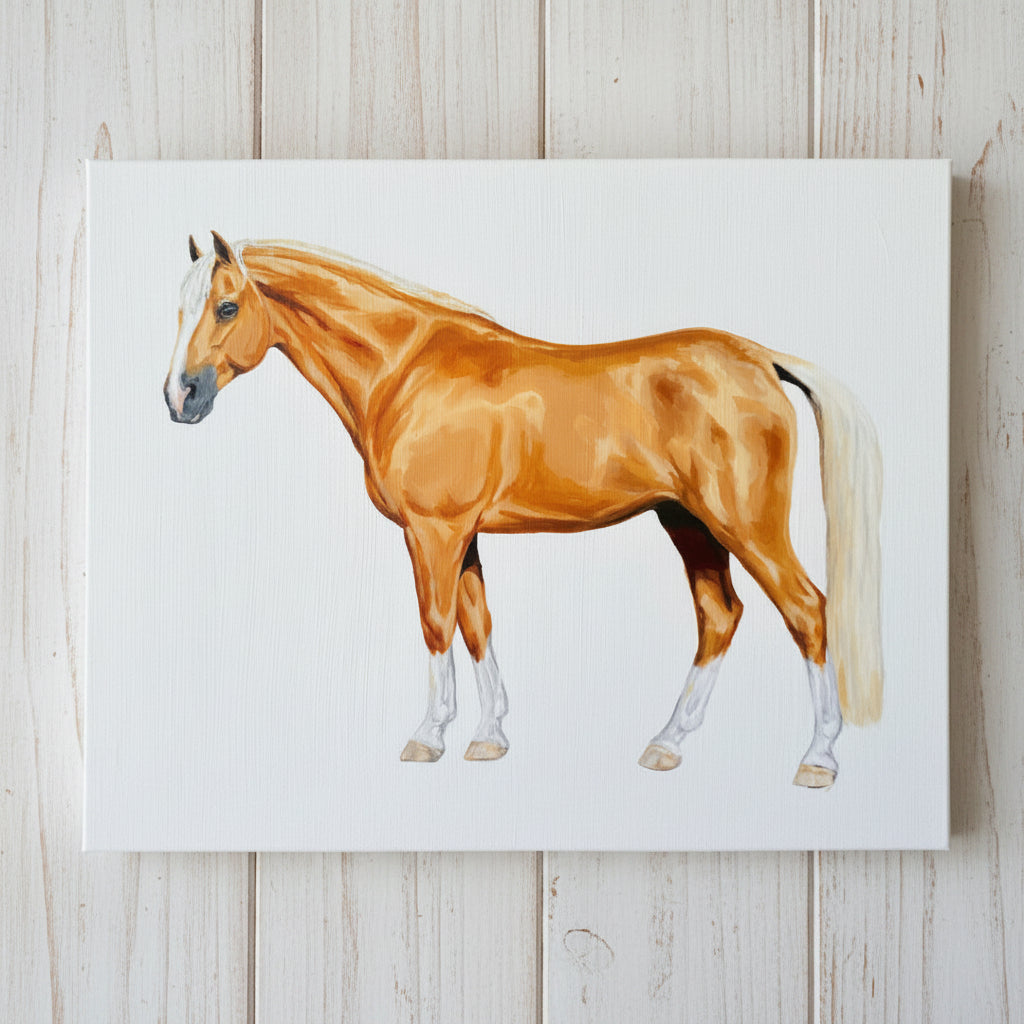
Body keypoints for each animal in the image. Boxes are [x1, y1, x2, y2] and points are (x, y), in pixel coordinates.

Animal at [164, 231, 883, 788]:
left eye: (227, 306)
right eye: (179, 309)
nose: (180, 397)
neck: (407, 369)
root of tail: (762, 359)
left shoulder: (433, 532)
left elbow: (435, 624)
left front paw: (428, 737)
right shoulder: (464, 536)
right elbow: (477, 623)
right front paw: (489, 738)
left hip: (745, 524)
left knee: (808, 611)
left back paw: (818, 760)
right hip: (688, 523)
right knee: (720, 616)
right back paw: (666, 745)